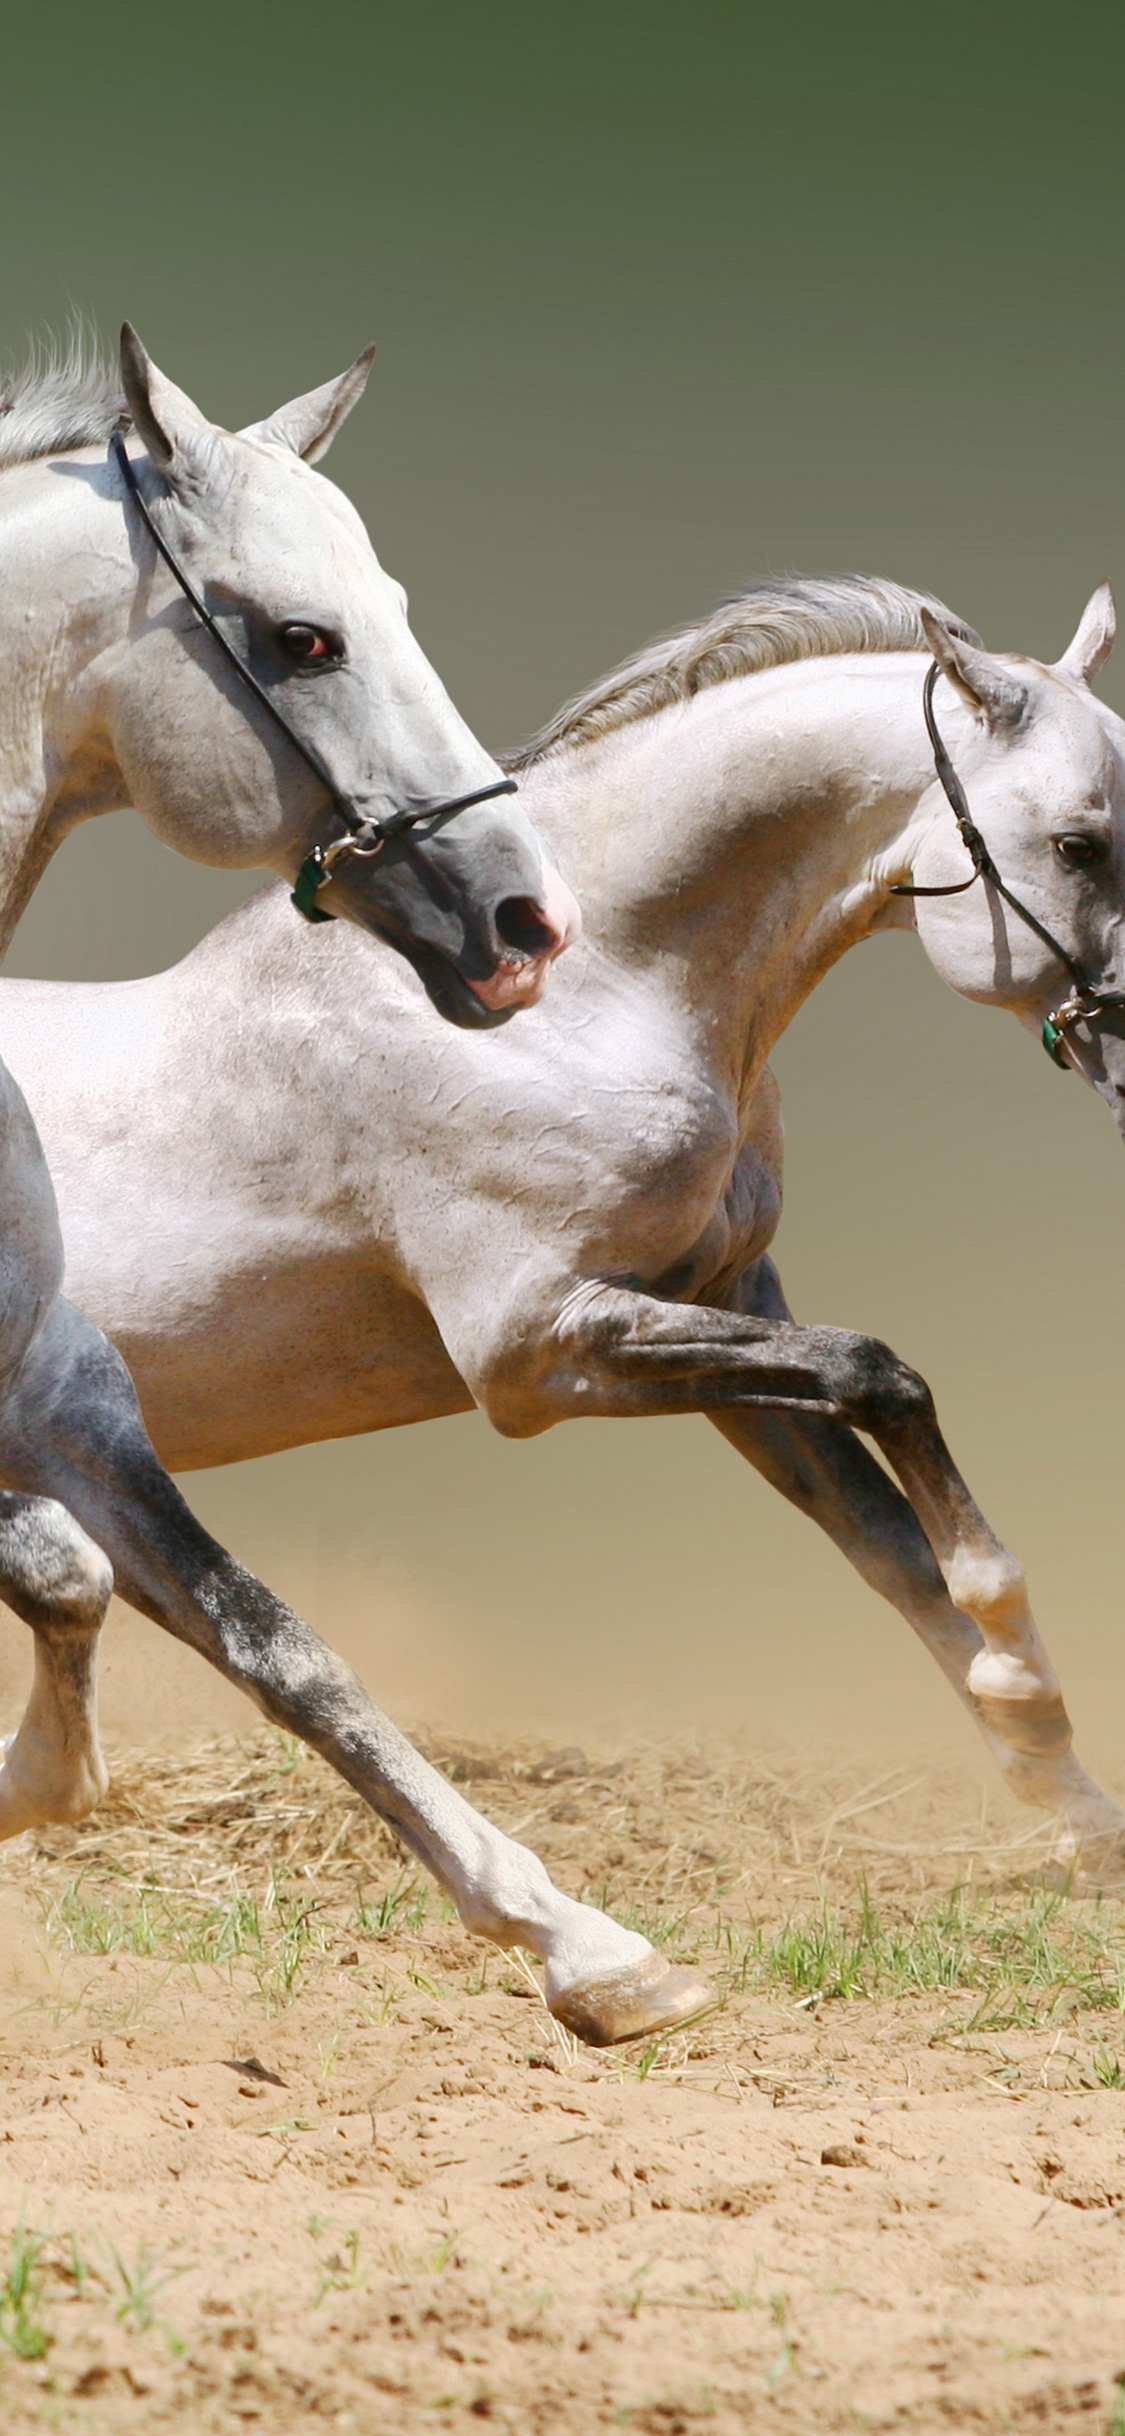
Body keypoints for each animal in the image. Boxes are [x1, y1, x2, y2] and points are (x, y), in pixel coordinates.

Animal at [3, 570, 1123, 2046]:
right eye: (1079, 842)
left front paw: (1070, 1798)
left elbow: (886, 1537)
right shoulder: (541, 1353)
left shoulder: (717, 1305)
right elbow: (883, 1376)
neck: (587, 1000)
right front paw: (1017, 1672)